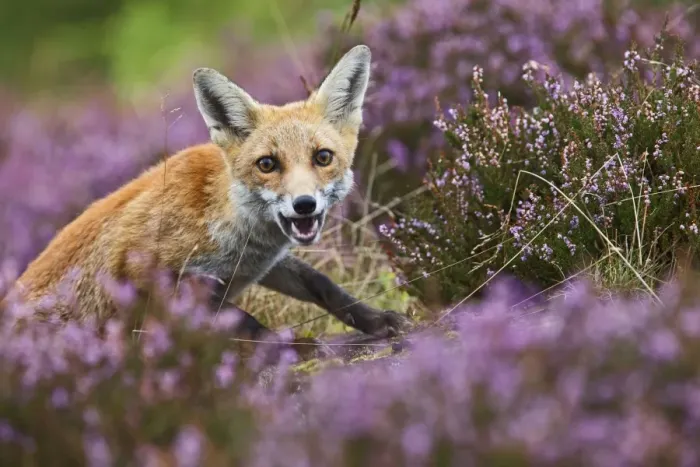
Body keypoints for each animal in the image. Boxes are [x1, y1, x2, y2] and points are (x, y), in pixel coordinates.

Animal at [7, 45, 411, 340]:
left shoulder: (260, 265)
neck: (223, 219)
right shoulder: (147, 276)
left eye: (322, 157)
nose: (304, 204)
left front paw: (376, 320)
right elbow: (245, 322)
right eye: (267, 164)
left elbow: (322, 284)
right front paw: (290, 347)